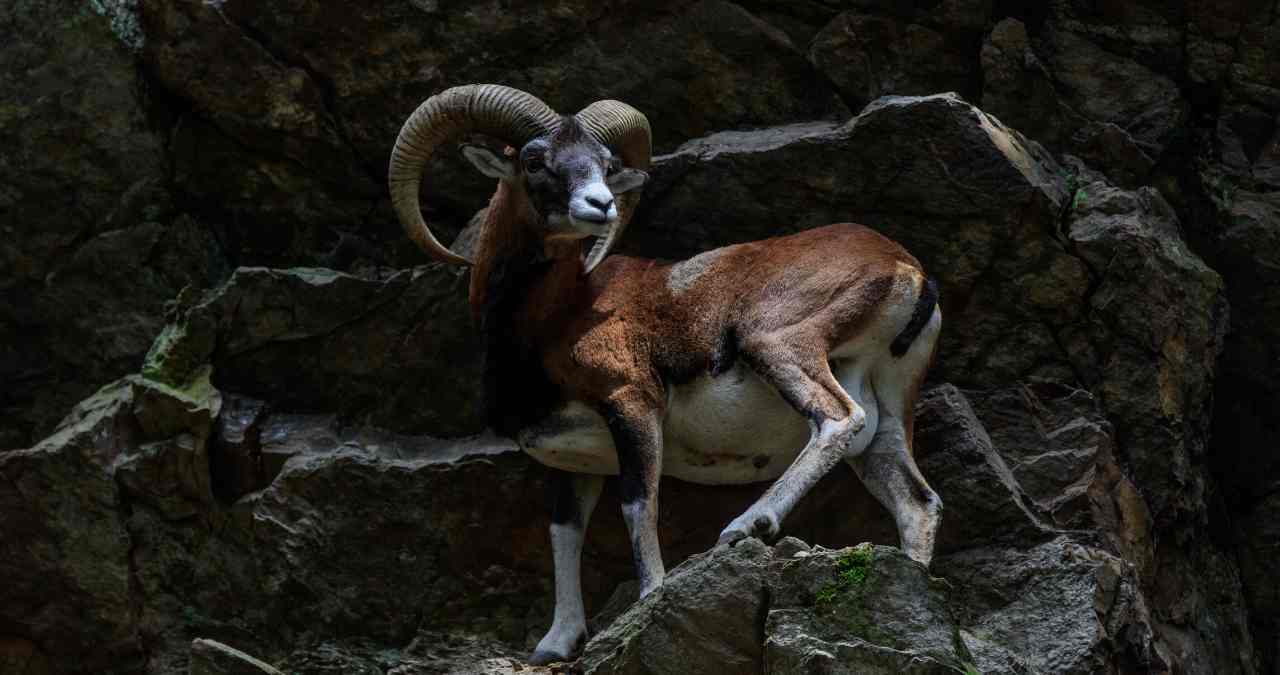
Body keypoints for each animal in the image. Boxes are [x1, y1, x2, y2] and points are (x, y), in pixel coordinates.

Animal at [388, 84, 943, 665]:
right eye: (535, 161)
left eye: (605, 165)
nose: (601, 205)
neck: (553, 317)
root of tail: (907, 270)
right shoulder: (568, 458)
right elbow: (565, 533)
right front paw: (556, 644)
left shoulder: (632, 406)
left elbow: (639, 506)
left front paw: (650, 599)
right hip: (887, 412)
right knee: (916, 503)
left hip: (776, 345)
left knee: (837, 419)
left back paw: (745, 525)